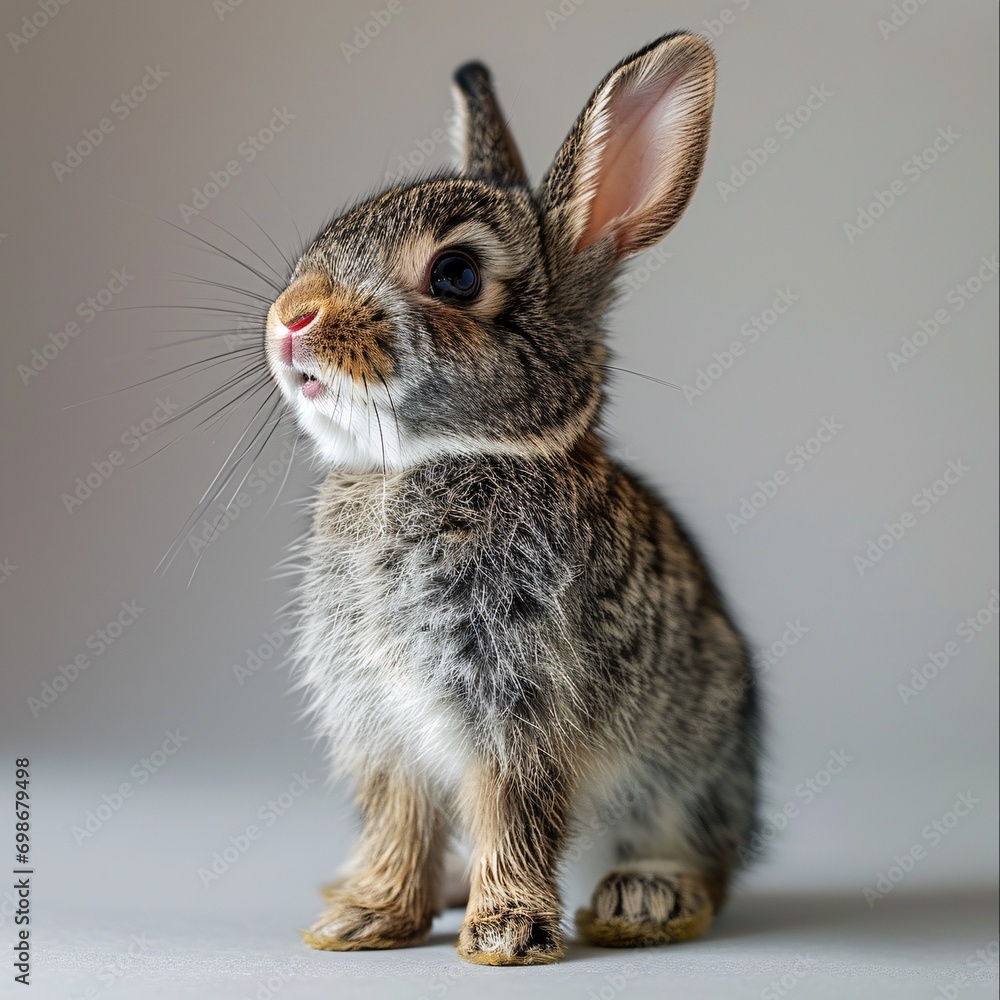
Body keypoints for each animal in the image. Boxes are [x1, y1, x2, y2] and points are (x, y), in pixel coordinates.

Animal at [263, 30, 760, 966]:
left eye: (456, 274)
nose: (290, 320)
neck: (430, 459)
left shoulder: (514, 701)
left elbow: (513, 808)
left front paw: (505, 934)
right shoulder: (380, 723)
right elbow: (399, 818)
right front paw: (363, 918)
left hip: (690, 769)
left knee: (703, 860)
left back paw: (644, 898)